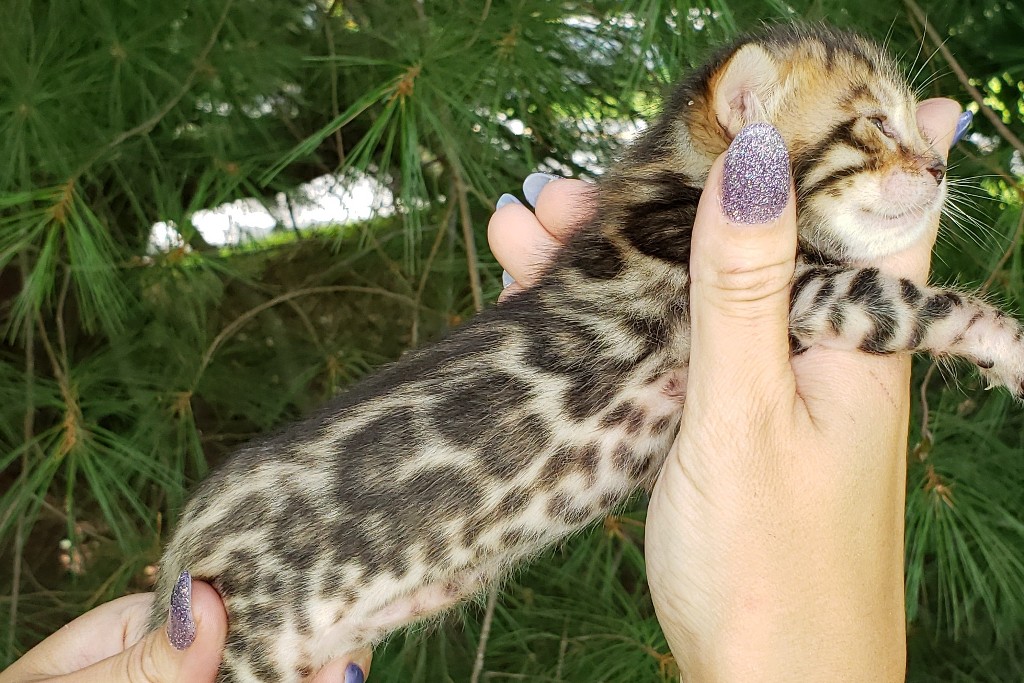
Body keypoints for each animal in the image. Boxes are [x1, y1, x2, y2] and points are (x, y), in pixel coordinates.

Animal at [151, 24, 1024, 679]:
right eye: (875, 124)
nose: (940, 166)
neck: (673, 180)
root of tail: (178, 558)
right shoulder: (800, 286)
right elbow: (918, 302)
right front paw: (1010, 346)